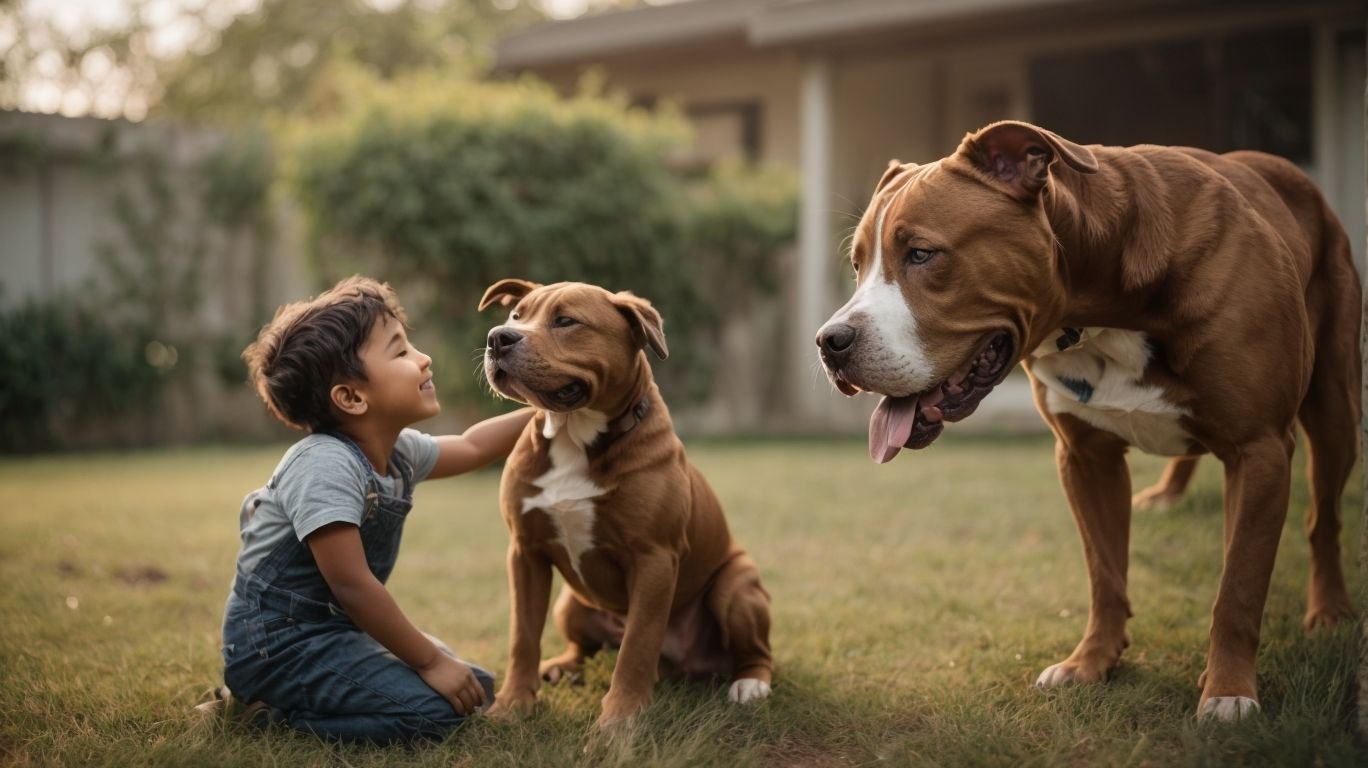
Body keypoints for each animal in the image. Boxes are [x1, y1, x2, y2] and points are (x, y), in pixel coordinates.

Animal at [476, 280, 777, 722]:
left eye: (566, 321)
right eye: (516, 316)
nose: (498, 338)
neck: (574, 437)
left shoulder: (653, 560)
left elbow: (637, 644)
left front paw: (620, 718)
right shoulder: (526, 554)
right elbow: (523, 636)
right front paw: (513, 704)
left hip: (736, 589)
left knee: (755, 651)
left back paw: (750, 683)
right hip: (570, 605)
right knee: (584, 647)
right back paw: (562, 667)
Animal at [809, 119, 1357, 717]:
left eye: (922, 254)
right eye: (857, 265)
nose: (829, 342)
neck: (1099, 306)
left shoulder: (1258, 449)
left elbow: (1239, 584)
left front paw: (1229, 690)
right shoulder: (1085, 457)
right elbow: (1105, 572)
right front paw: (1091, 663)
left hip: (1333, 410)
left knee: (1323, 517)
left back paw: (1329, 612)